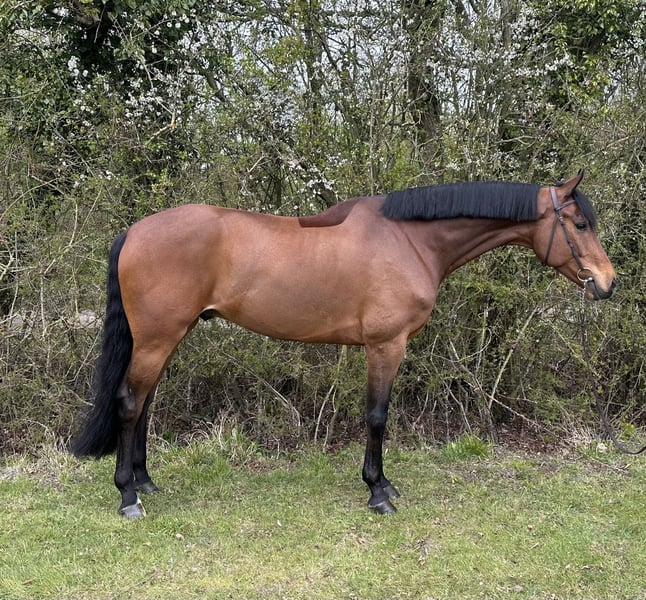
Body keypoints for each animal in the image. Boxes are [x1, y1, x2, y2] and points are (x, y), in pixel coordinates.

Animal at [72, 171, 616, 518]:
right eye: (580, 224)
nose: (607, 283)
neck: (410, 240)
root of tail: (134, 231)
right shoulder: (386, 345)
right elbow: (377, 416)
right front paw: (378, 492)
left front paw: (383, 484)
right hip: (157, 337)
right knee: (129, 403)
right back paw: (129, 498)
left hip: (169, 336)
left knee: (144, 404)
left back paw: (145, 482)